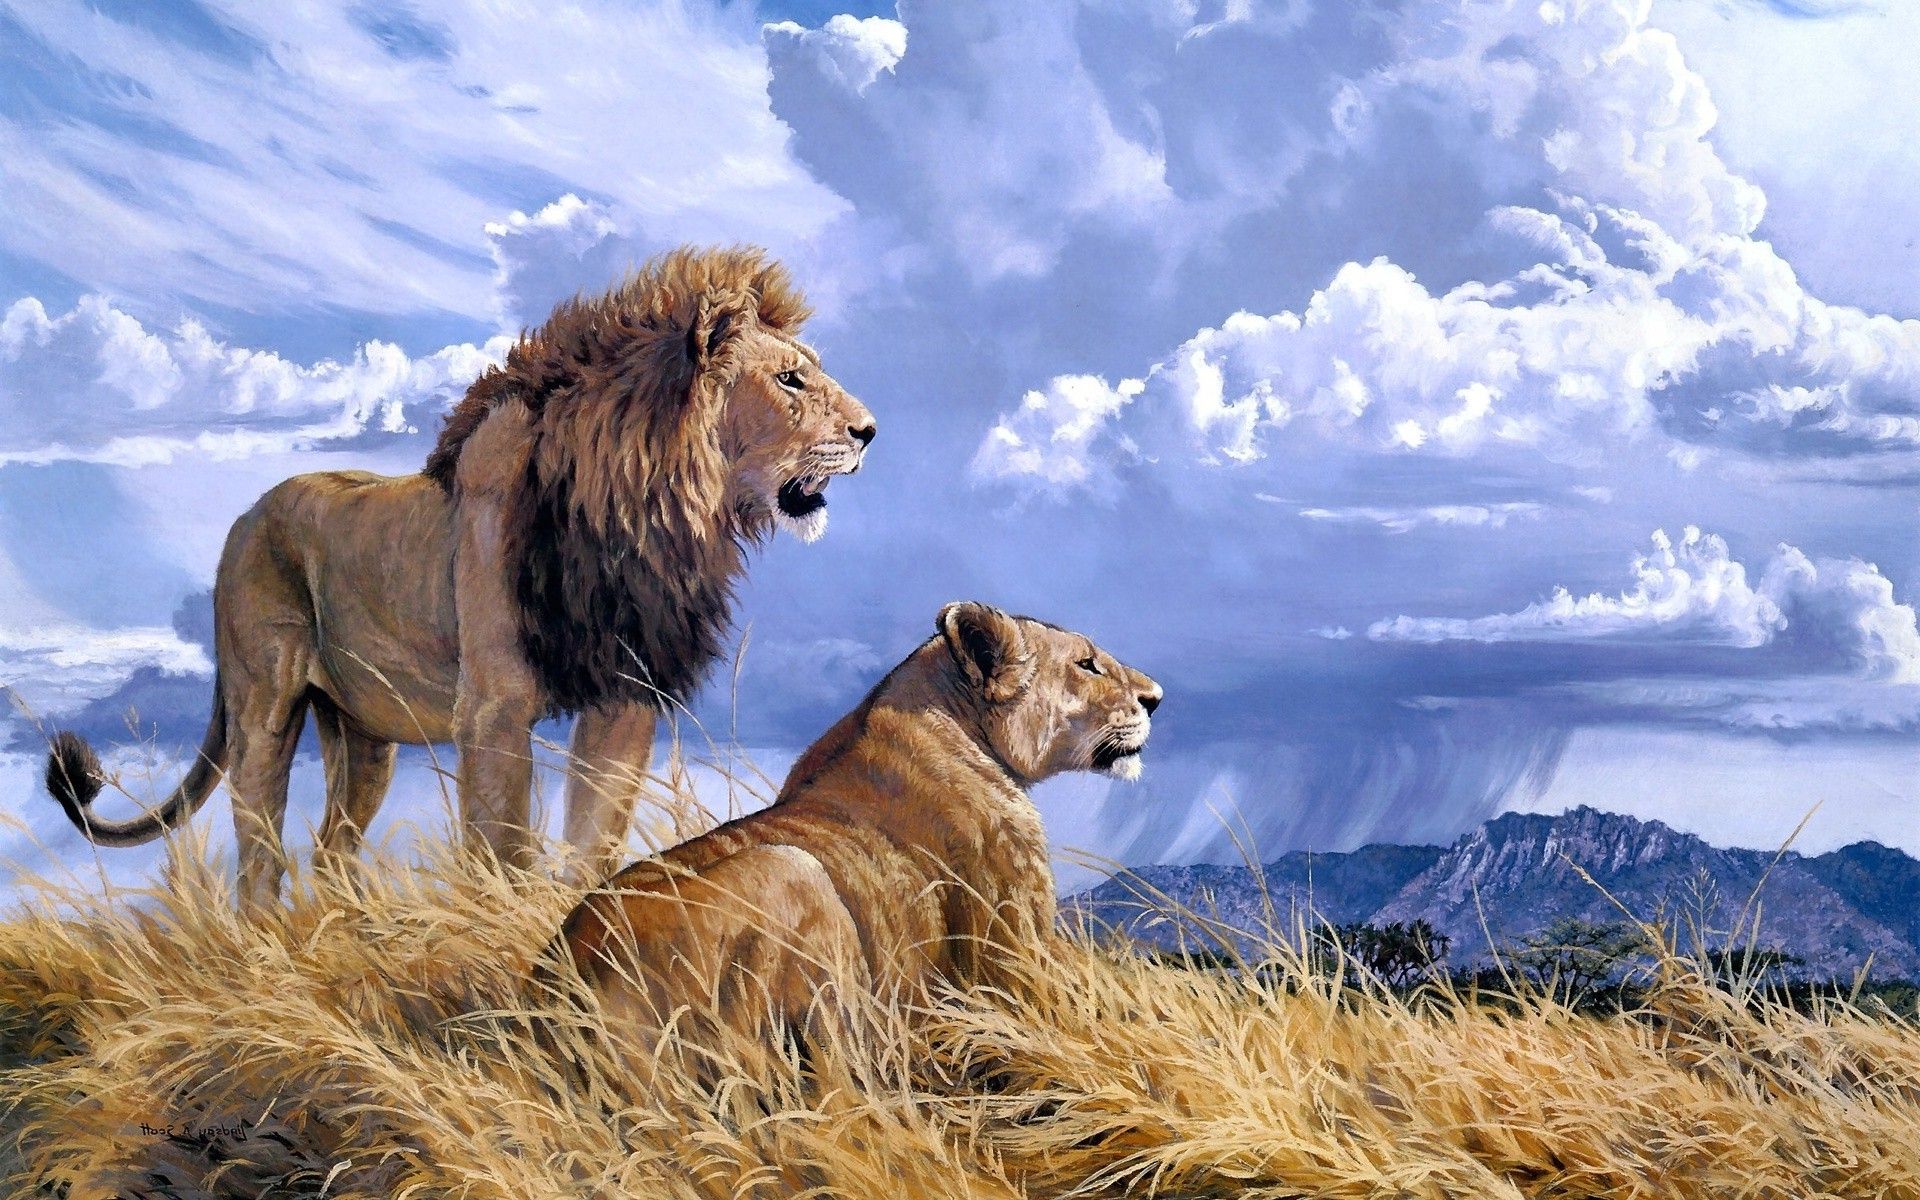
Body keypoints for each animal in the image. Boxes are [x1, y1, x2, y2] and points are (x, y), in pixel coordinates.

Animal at [45, 247, 877, 914]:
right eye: (792, 379)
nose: (870, 431)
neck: (645, 513)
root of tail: (245, 517)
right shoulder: (495, 710)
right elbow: (504, 853)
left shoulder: (623, 698)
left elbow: (594, 841)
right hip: (264, 706)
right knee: (258, 853)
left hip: (362, 734)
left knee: (332, 851)